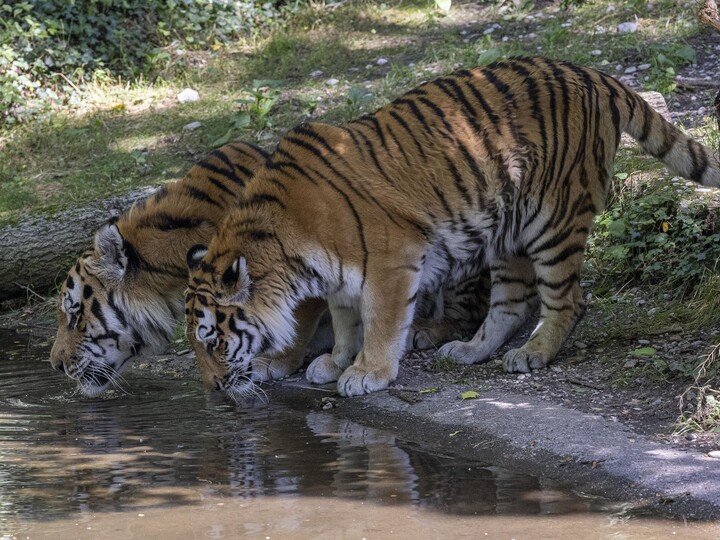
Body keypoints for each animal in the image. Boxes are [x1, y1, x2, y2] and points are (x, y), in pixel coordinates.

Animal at [184, 55, 720, 399]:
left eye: (213, 341)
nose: (213, 389)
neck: (288, 252)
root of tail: (591, 72)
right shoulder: (338, 279)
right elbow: (345, 321)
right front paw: (336, 361)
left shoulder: (392, 261)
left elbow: (380, 321)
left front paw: (367, 373)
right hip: (508, 228)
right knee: (512, 301)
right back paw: (471, 350)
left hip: (553, 218)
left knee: (567, 299)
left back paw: (535, 352)